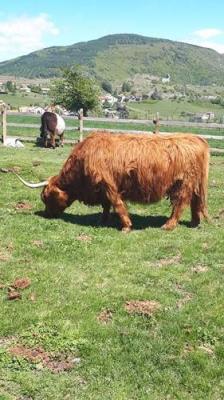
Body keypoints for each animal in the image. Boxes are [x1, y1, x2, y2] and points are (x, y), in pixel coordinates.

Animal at [14, 131, 210, 231]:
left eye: (46, 198)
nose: (47, 214)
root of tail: (197, 139)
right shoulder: (102, 188)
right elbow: (106, 205)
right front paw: (102, 220)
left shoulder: (108, 184)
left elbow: (116, 204)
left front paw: (126, 226)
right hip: (194, 184)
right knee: (195, 202)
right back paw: (194, 223)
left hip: (183, 183)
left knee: (181, 203)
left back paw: (168, 225)